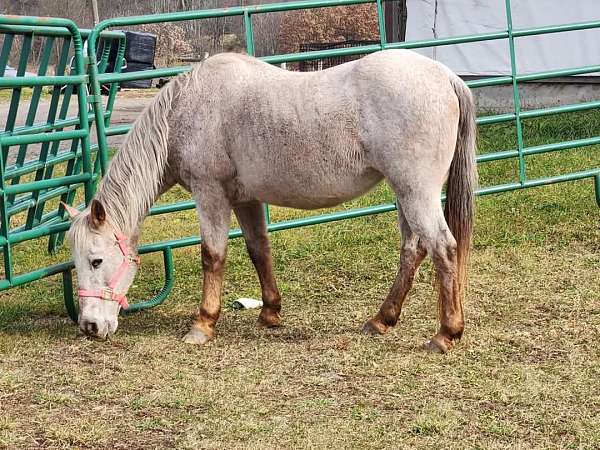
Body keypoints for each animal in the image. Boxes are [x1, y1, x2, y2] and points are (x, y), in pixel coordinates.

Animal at [64, 49, 478, 352]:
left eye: (95, 260)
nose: (89, 325)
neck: (185, 109)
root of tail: (445, 76)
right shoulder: (244, 199)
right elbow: (258, 249)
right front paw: (270, 313)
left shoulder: (209, 192)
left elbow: (212, 256)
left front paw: (203, 324)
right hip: (404, 193)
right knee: (413, 249)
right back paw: (381, 320)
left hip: (416, 192)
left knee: (443, 248)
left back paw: (446, 334)